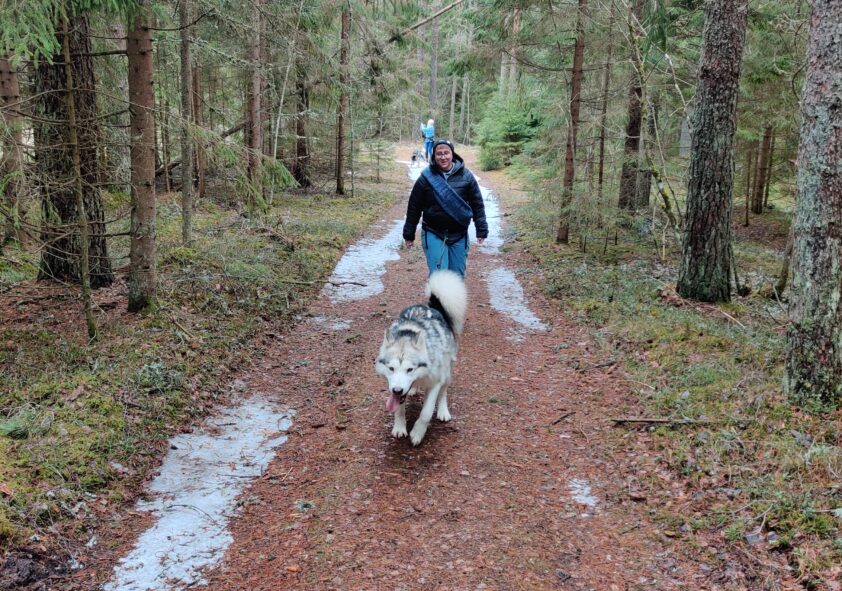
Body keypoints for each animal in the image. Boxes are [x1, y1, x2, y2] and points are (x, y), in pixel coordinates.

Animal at [375, 270, 467, 446]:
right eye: (391, 368)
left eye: (410, 369)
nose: (397, 390)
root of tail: (430, 306)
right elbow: (399, 410)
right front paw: (399, 427)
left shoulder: (435, 383)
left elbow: (426, 412)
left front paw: (417, 433)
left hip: (447, 372)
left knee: (444, 392)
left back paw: (443, 411)